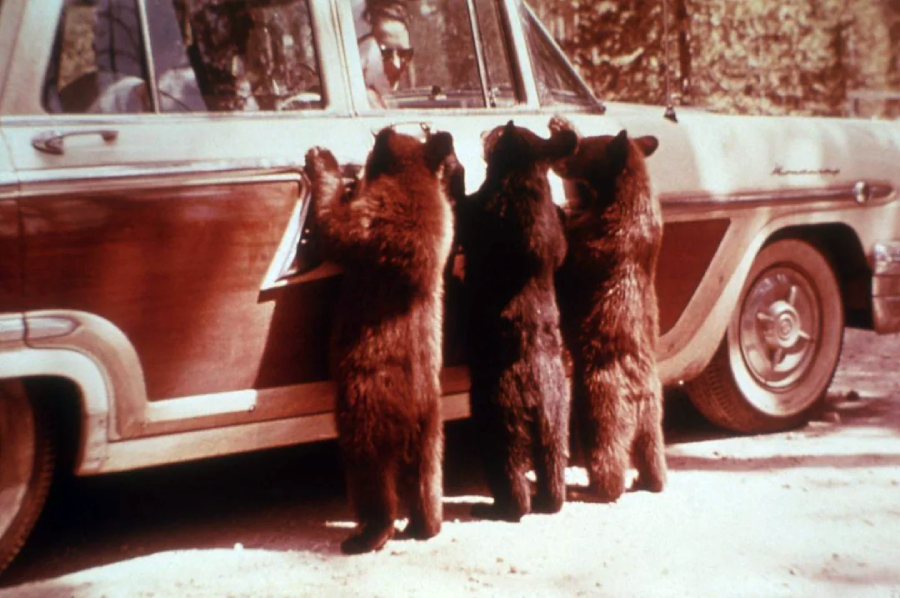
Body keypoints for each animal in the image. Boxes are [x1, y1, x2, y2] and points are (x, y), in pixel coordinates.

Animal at [302, 126, 457, 554]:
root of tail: (414, 413)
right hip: (434, 427)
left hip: (365, 411)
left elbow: (335, 226)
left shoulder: (375, 216)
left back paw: (366, 535)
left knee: (370, 475)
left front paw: (323, 161)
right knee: (428, 477)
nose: (369, 146)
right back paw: (426, 526)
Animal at [455, 120, 577, 522]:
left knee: (506, 467)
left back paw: (501, 507)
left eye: (493, 135)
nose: (483, 134)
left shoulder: (485, 209)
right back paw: (551, 500)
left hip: (498, 418)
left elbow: (465, 209)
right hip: (557, 418)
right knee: (553, 463)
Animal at [549, 116, 667, 503]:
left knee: (607, 452)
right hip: (653, 418)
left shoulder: (596, 242)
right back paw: (650, 479)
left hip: (599, 403)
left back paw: (593, 487)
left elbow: (568, 250)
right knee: (652, 453)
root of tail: (638, 395)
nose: (557, 160)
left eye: (581, 148)